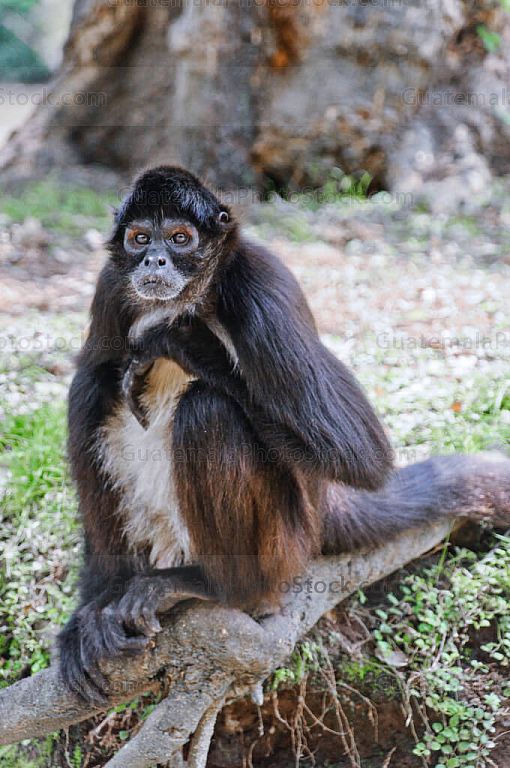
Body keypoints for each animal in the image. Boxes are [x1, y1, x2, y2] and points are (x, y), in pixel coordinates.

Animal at [58, 165, 510, 705]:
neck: (192, 298)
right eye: (140, 238)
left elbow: (363, 455)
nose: (155, 260)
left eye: (181, 238)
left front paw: (184, 341)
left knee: (207, 408)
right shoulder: (112, 283)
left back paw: (222, 588)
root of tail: (322, 514)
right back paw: (107, 593)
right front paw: (84, 612)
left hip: (284, 543)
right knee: (90, 389)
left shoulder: (259, 286)